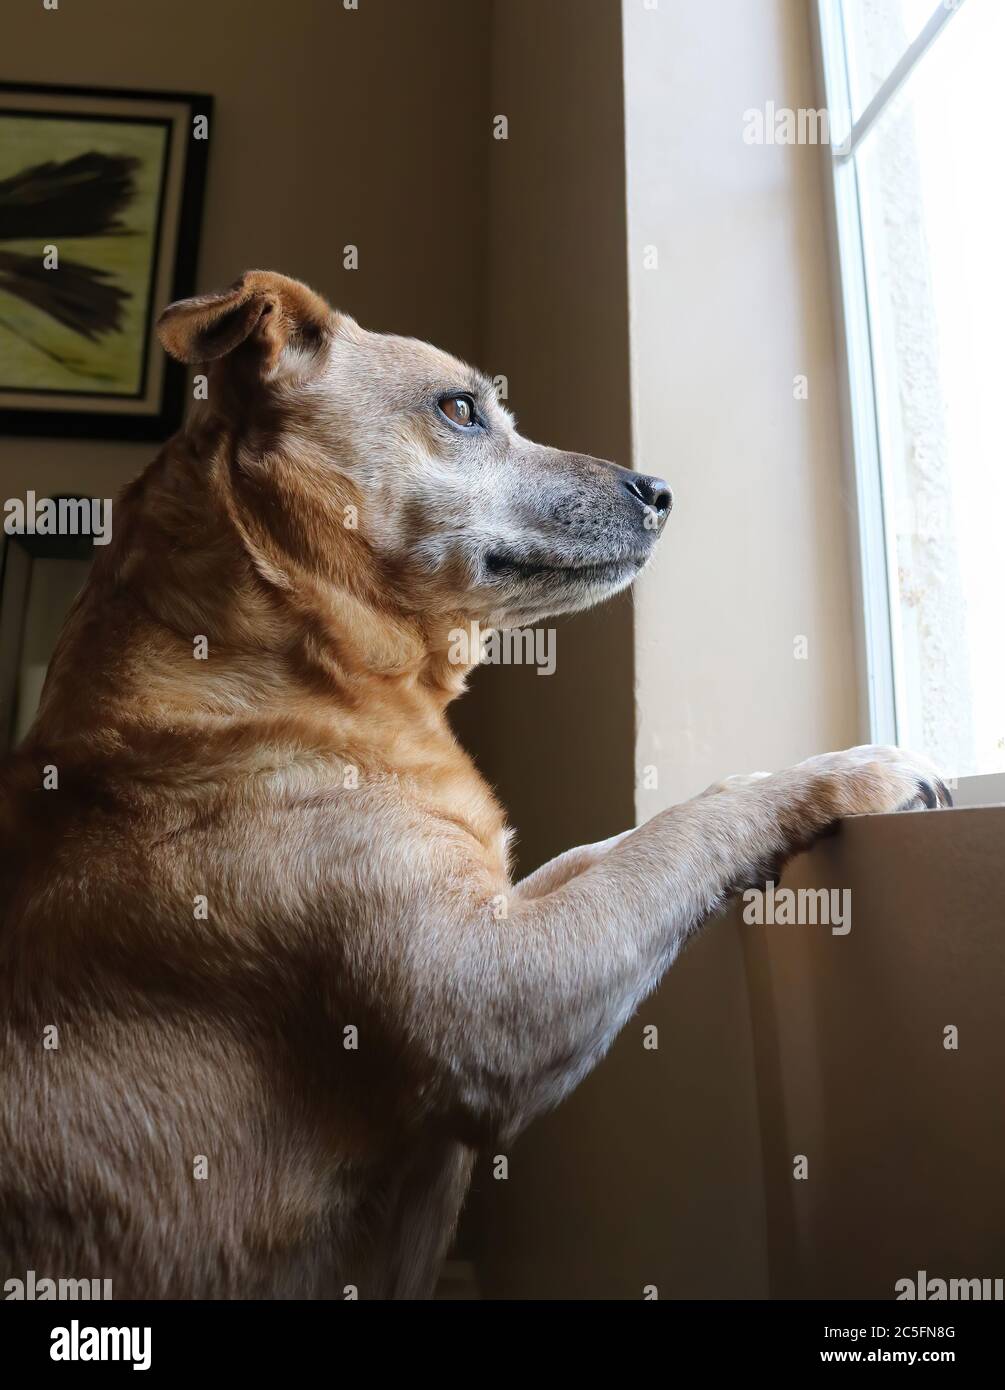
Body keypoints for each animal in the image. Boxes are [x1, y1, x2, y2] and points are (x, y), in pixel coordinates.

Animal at [0, 273, 945, 1301]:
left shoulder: (506, 897)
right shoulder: (498, 994)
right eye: (459, 410)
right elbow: (686, 833)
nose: (660, 491)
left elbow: (621, 842)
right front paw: (858, 770)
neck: (295, 667)